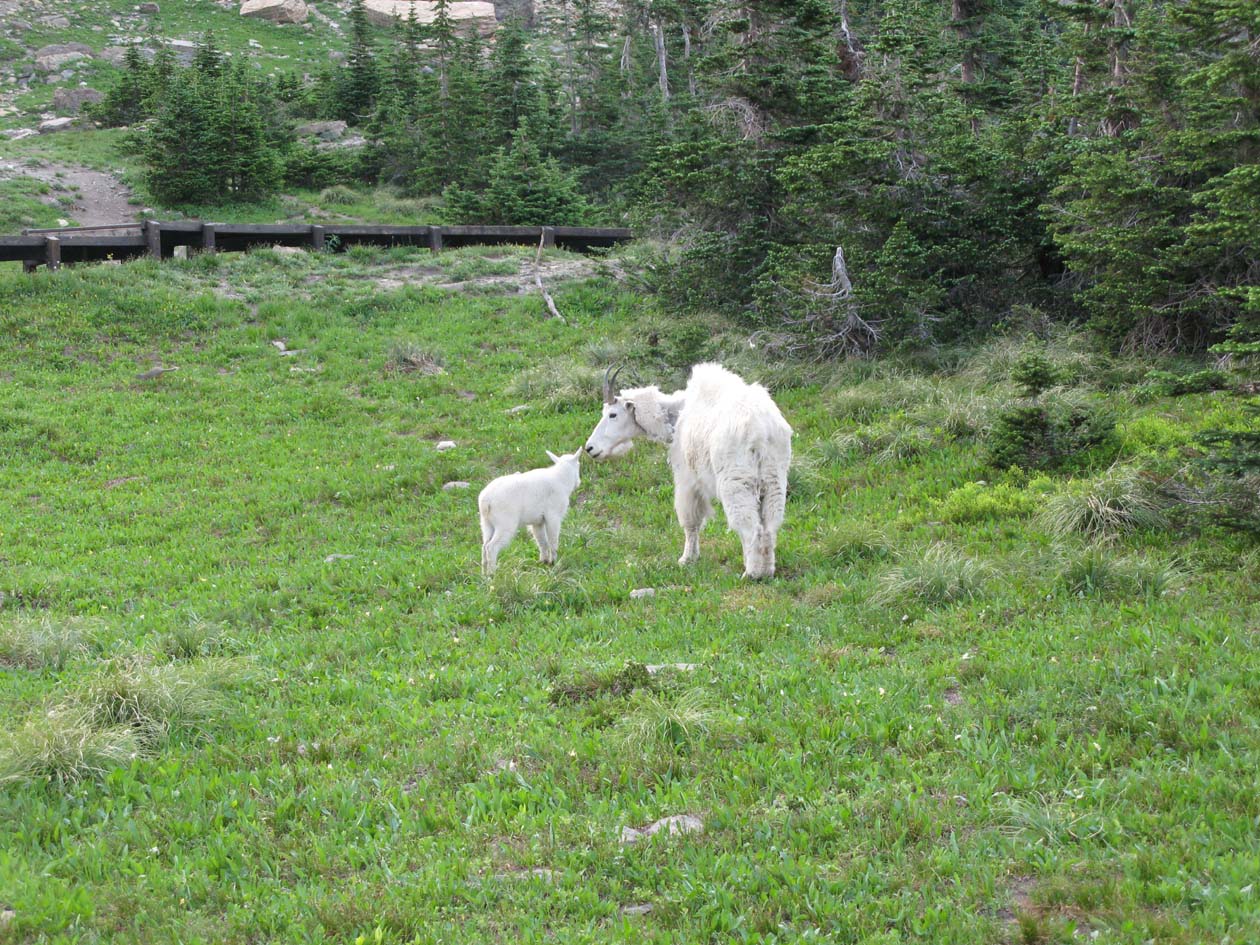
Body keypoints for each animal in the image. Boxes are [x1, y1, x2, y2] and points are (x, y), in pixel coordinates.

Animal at [478, 448, 582, 577]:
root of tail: (485, 501)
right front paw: (553, 562)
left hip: (486, 523)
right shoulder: (553, 516)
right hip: (505, 523)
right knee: (491, 547)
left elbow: (542, 541)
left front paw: (544, 562)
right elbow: (553, 541)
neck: (561, 480)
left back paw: (484, 573)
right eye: (578, 464)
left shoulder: (538, 521)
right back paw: (492, 574)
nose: (579, 482)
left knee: (484, 546)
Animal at [584, 365, 791, 582]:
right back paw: (766, 570)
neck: (676, 415)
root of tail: (761, 432)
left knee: (750, 527)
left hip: (737, 482)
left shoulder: (687, 479)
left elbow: (691, 521)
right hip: (774, 480)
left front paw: (687, 559)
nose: (590, 448)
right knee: (769, 526)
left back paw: (751, 573)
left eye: (612, 414)